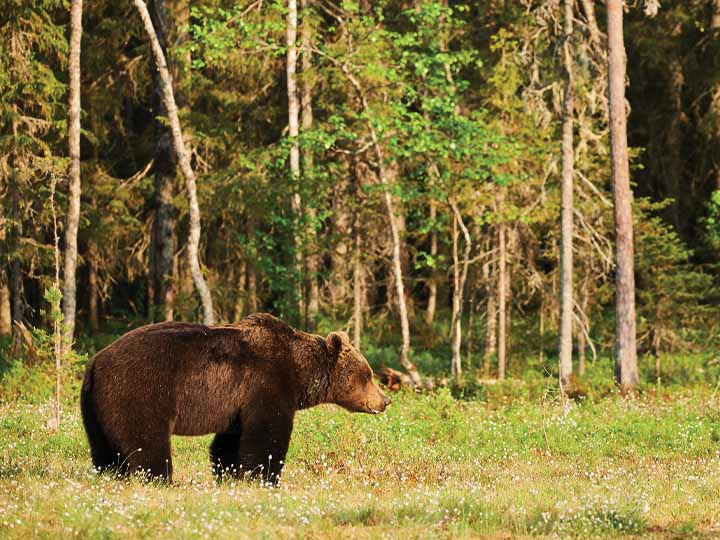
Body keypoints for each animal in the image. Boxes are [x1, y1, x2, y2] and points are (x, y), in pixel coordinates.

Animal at [81, 312, 390, 486]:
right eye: (368, 374)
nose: (385, 400)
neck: (298, 370)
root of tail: (95, 362)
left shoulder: (237, 402)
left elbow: (229, 442)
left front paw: (229, 473)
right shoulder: (267, 383)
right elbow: (267, 435)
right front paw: (265, 478)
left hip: (96, 407)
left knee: (105, 448)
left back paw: (112, 475)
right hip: (141, 390)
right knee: (147, 441)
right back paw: (162, 479)